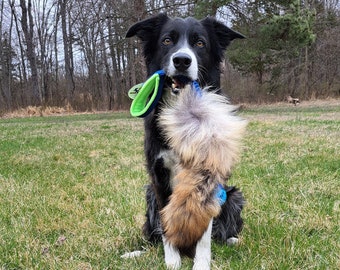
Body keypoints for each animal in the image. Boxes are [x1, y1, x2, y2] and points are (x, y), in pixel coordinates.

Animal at [126, 13, 246, 268]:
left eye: (200, 43)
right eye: (167, 40)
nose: (182, 60)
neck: (183, 112)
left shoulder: (205, 178)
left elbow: (203, 232)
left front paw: (201, 263)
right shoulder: (159, 177)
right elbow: (166, 227)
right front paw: (172, 262)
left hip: (234, 196)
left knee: (221, 231)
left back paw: (232, 240)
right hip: (149, 194)